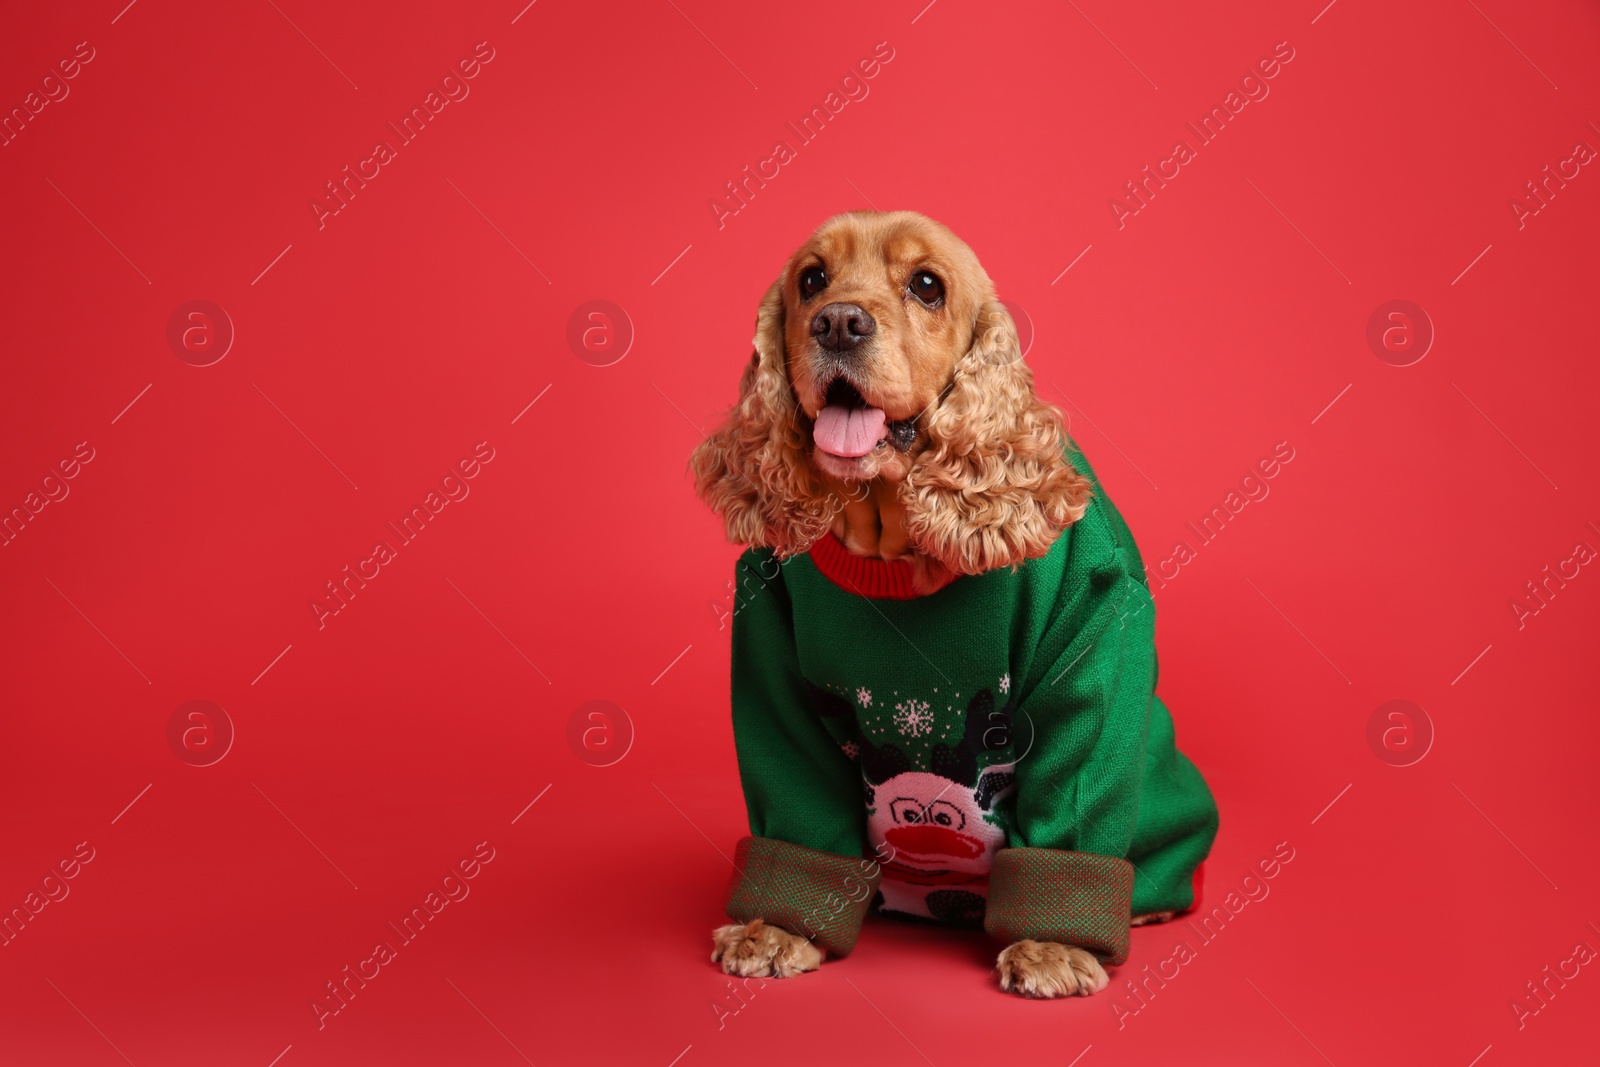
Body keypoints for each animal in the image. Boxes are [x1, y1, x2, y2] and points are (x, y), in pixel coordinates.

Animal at [688, 212, 1209, 998]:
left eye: (927, 285)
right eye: (811, 280)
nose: (838, 322)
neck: (896, 547)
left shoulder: (1093, 629)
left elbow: (1075, 783)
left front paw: (1052, 945)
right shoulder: (769, 658)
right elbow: (797, 796)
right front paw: (778, 926)